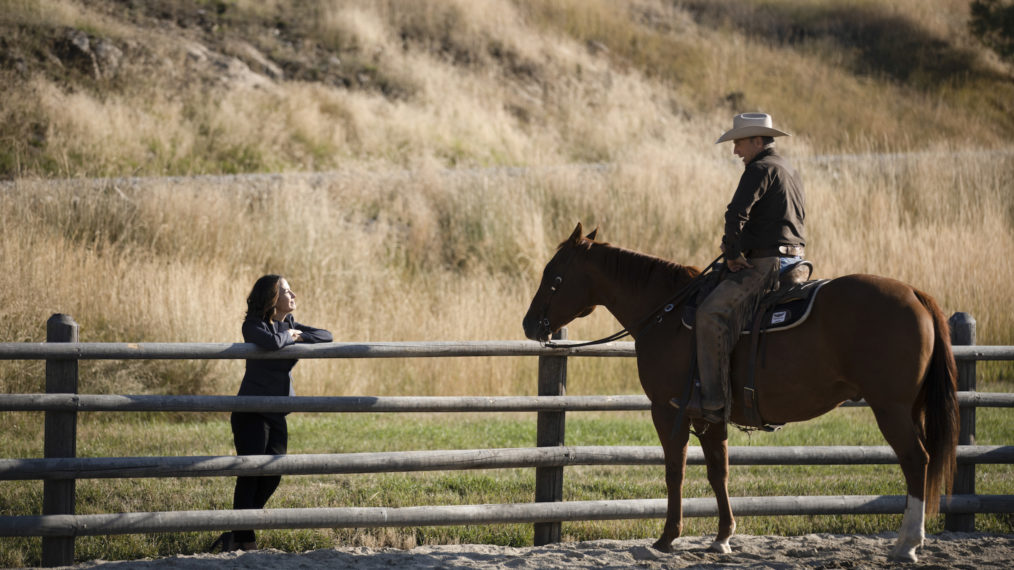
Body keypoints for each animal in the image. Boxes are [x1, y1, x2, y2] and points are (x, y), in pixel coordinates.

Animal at [523, 222, 957, 559]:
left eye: (554, 277)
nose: (529, 324)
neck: (666, 312)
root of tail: (915, 293)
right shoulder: (711, 413)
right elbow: (719, 472)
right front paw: (722, 538)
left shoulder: (667, 409)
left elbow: (675, 471)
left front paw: (667, 537)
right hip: (909, 407)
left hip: (891, 408)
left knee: (916, 460)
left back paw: (907, 543)